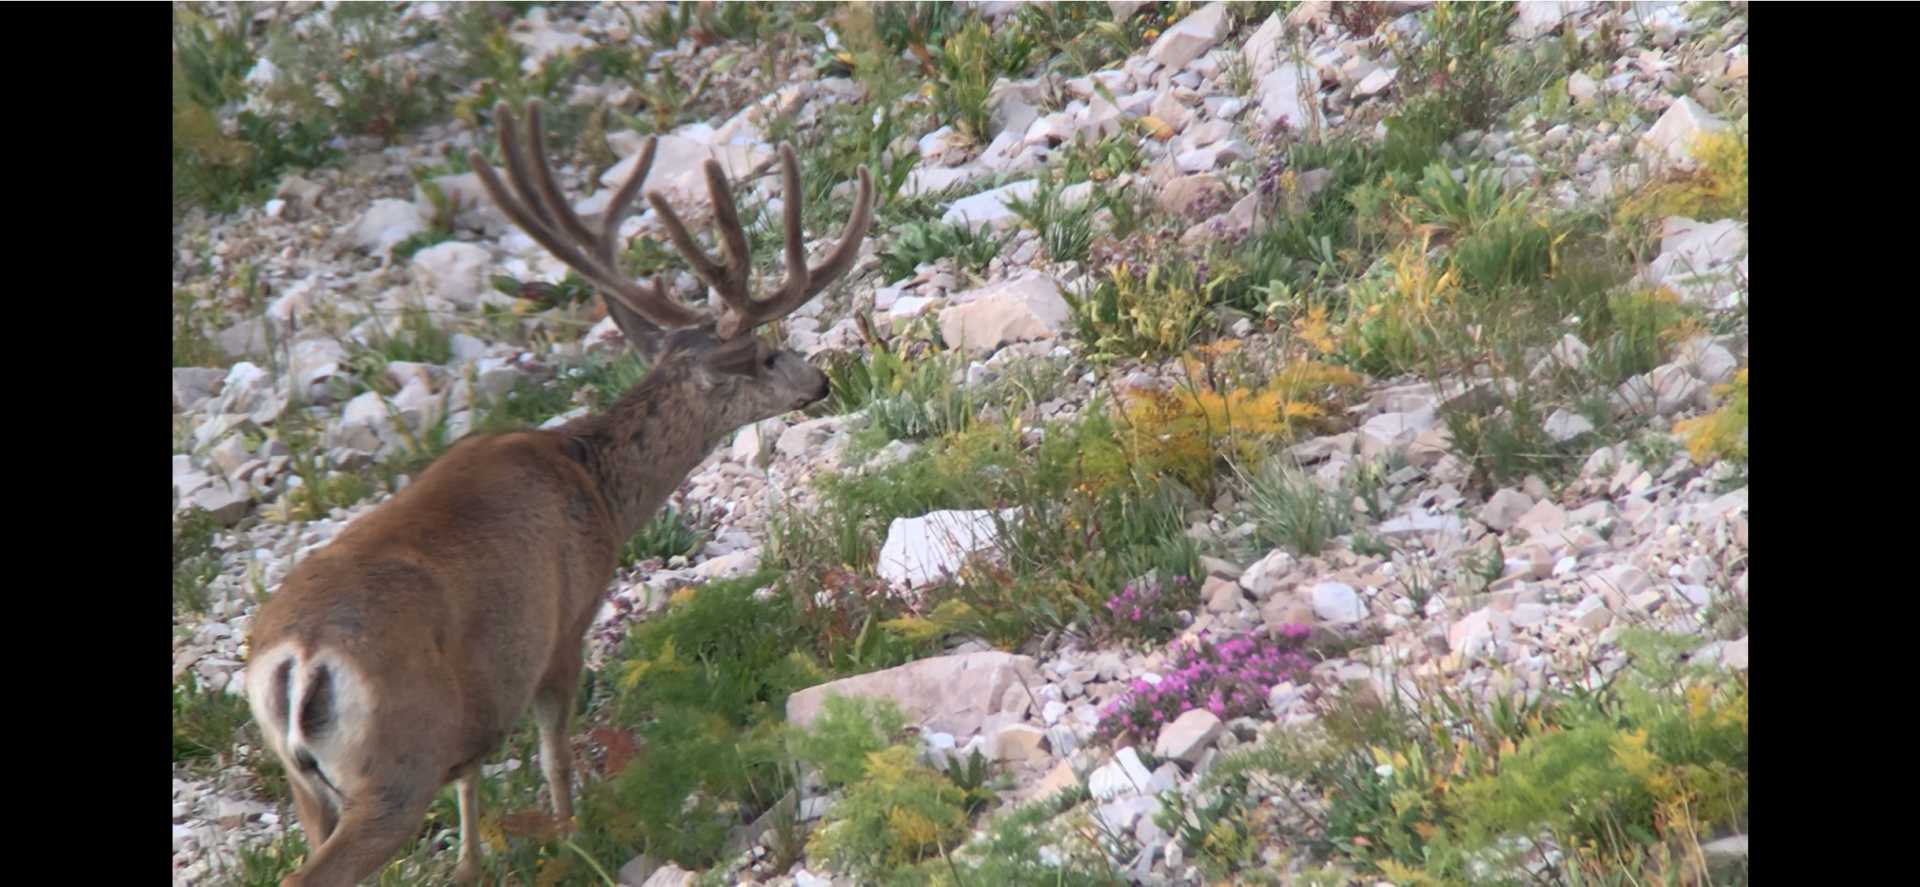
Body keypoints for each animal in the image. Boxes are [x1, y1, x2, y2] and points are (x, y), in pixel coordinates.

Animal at [243, 98, 873, 887]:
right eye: (765, 353)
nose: (819, 380)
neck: (595, 484)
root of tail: (297, 659)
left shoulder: (480, 697)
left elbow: (472, 779)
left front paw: (474, 863)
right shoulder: (566, 623)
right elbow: (555, 755)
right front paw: (574, 838)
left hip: (312, 783)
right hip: (394, 764)